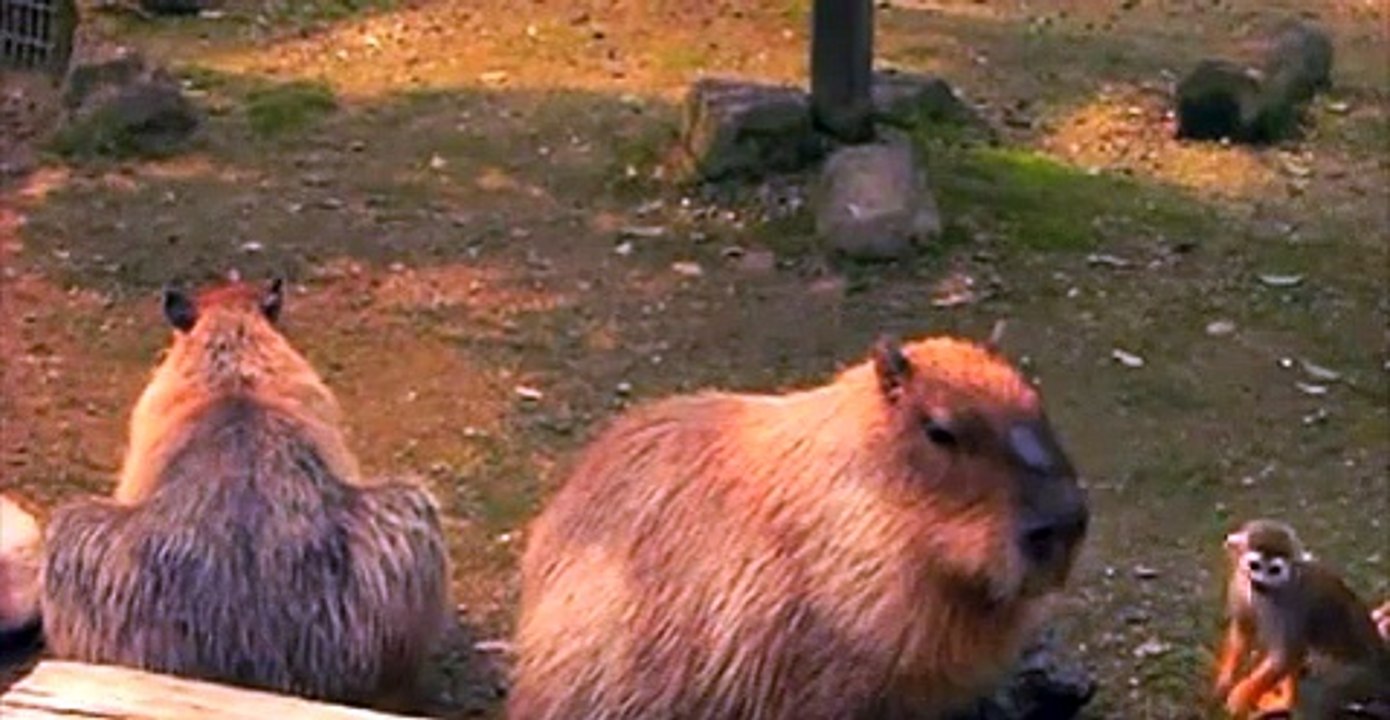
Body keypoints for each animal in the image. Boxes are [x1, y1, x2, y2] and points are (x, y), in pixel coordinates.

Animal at [1215, 519, 1390, 720]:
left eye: (1275, 570)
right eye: (1254, 565)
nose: (1261, 583)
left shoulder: (1293, 605)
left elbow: (1285, 655)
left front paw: (1243, 694)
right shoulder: (1239, 585)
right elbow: (1242, 632)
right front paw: (1227, 676)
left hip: (1354, 679)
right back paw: (1286, 701)